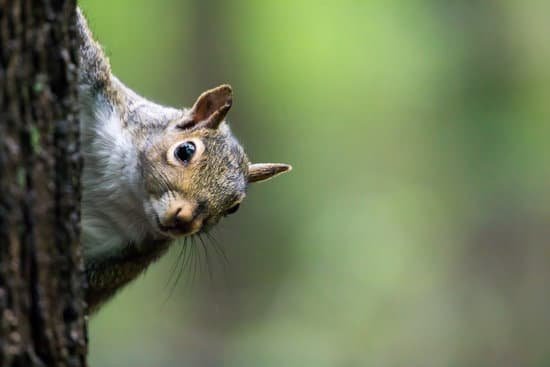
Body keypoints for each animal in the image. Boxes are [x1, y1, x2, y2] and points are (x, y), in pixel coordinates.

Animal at [77, 7, 294, 314]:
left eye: (234, 208)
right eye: (185, 151)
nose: (185, 219)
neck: (127, 189)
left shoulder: (130, 255)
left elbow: (93, 288)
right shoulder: (101, 93)